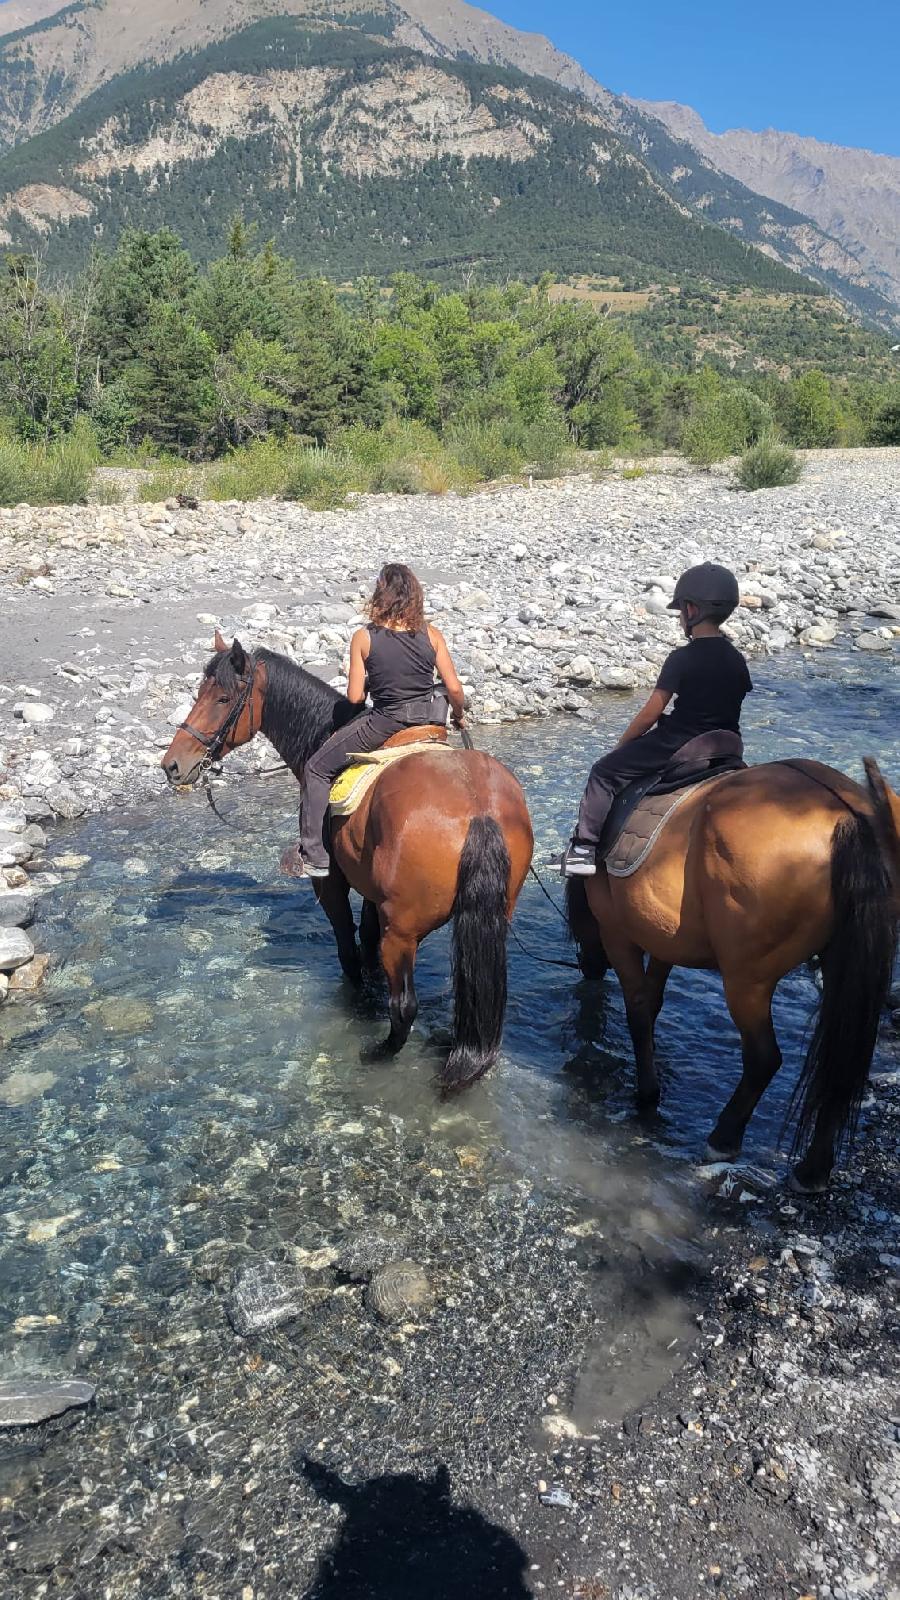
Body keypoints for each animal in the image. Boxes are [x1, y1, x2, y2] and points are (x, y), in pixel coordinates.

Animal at [159, 636, 531, 1088]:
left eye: (222, 698)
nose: (172, 765)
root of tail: (479, 811)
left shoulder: (331, 883)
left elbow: (348, 948)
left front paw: (357, 1002)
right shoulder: (372, 892)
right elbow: (365, 939)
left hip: (402, 934)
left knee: (404, 1007)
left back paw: (379, 1052)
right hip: (488, 918)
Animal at [566, 758, 896, 1190]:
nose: (589, 967)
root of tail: (846, 815)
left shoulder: (618, 934)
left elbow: (638, 1011)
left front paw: (647, 1094)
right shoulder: (664, 936)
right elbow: (652, 1003)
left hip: (746, 981)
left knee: (763, 1058)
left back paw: (724, 1138)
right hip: (841, 970)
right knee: (839, 1063)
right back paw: (813, 1169)